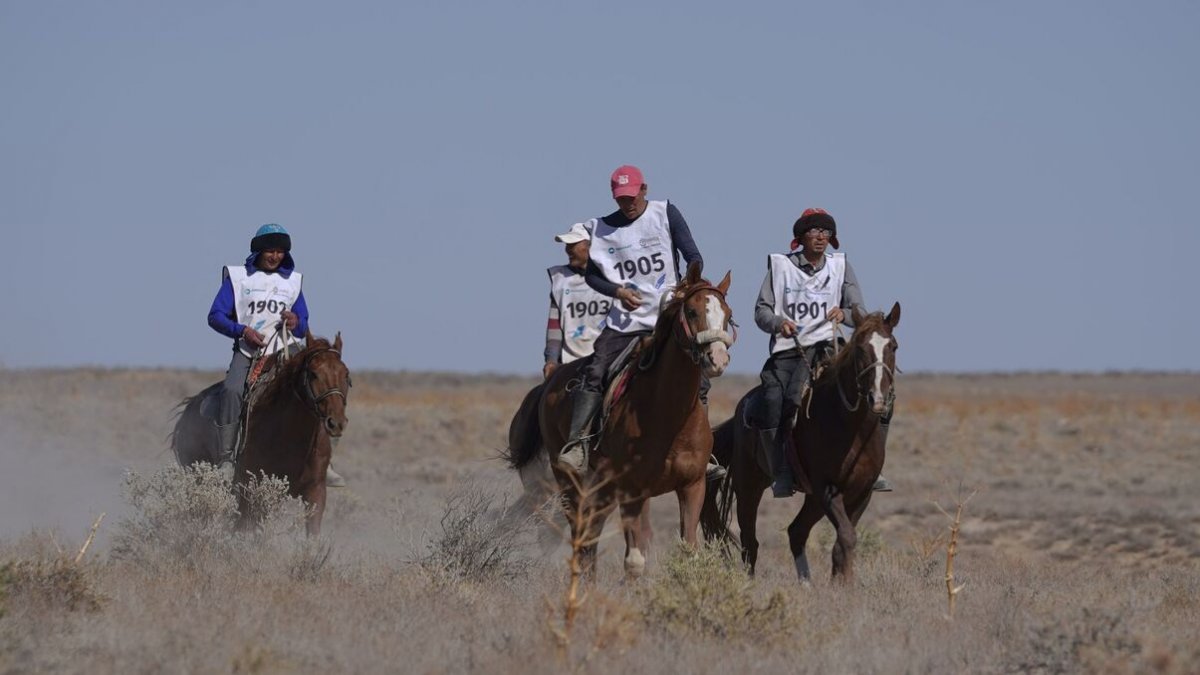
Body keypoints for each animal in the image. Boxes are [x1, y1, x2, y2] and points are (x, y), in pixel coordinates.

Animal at [174, 329, 350, 533]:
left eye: (346, 374)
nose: (336, 422)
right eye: (313, 374)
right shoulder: (253, 493)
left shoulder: (316, 492)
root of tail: (187, 410)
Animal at [504, 263, 734, 578]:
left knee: (589, 536)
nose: (717, 359)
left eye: (728, 315)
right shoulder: (631, 492)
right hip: (569, 485)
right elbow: (635, 561)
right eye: (691, 311)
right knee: (580, 535)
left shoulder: (692, 486)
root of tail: (550, 381)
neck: (668, 416)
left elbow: (688, 553)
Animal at [700, 302, 902, 581]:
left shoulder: (861, 492)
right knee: (750, 543)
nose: (878, 399)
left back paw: (805, 582)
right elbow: (847, 537)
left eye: (893, 346)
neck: (849, 425)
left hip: (811, 499)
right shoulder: (827, 489)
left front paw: (843, 585)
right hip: (749, 486)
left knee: (796, 531)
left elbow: (843, 543)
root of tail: (742, 408)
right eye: (861, 347)